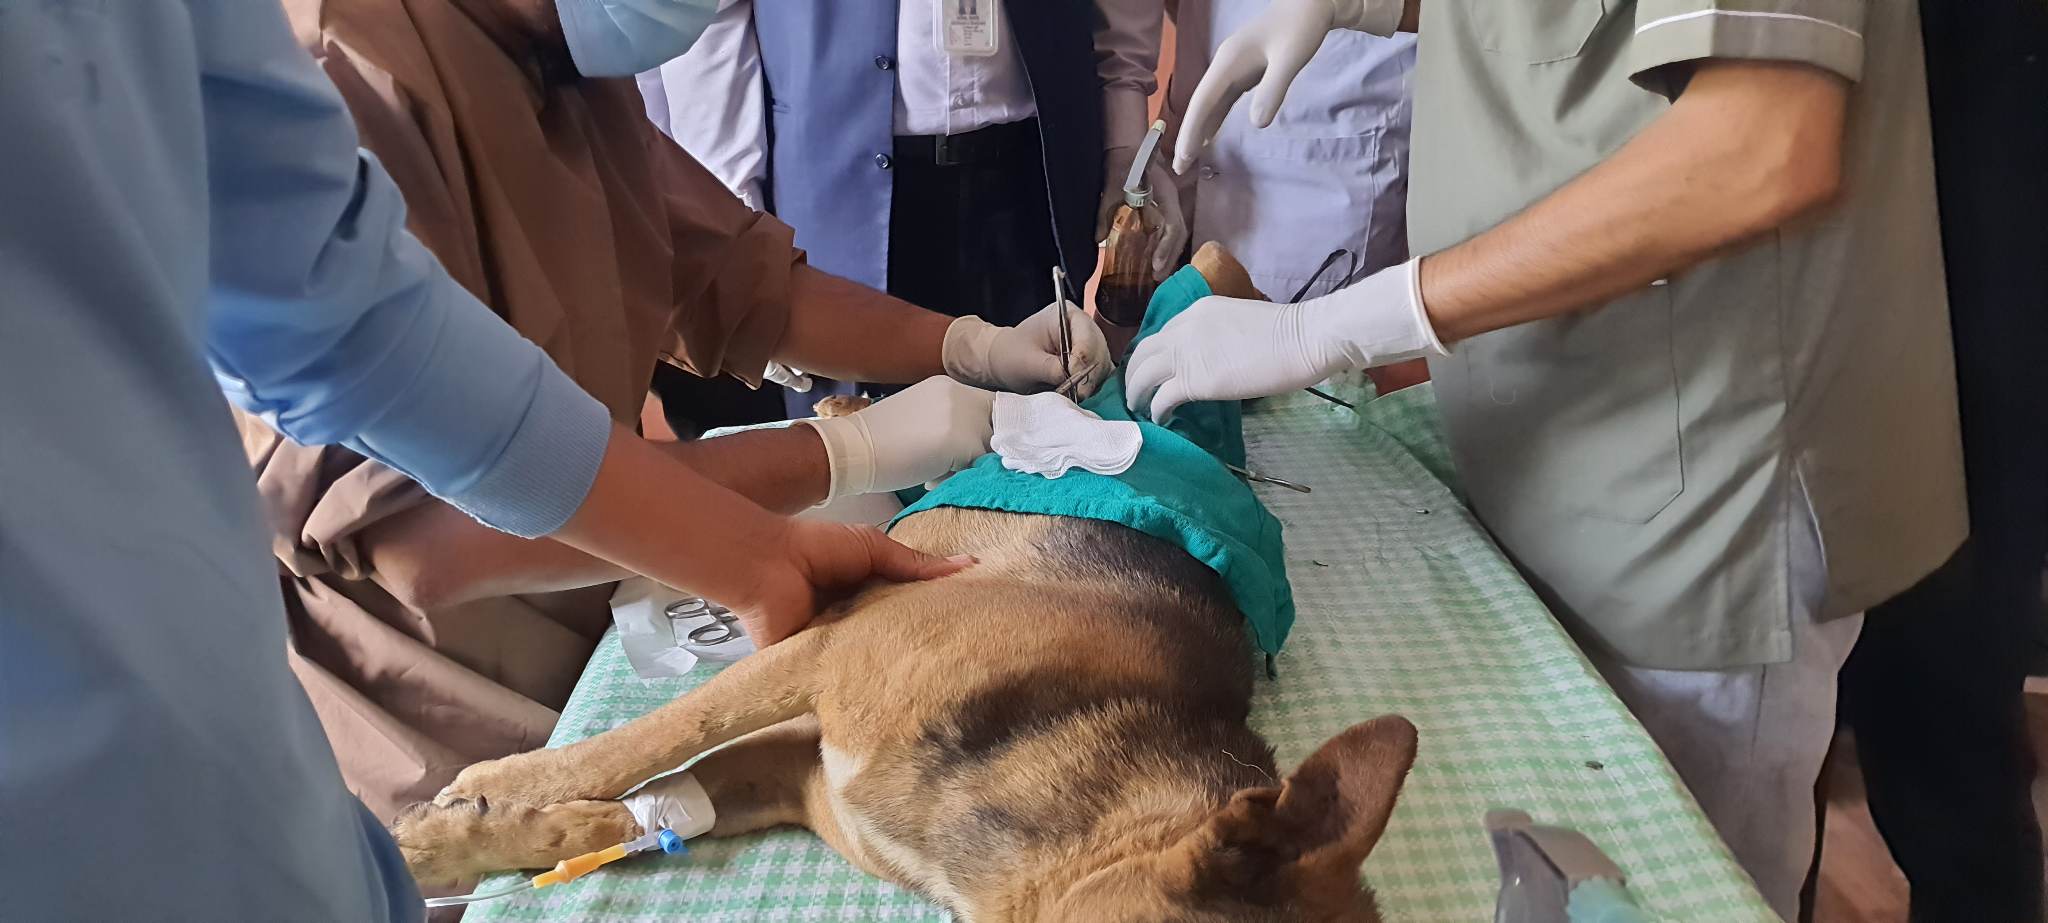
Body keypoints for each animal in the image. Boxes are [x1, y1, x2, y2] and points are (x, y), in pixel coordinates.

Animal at [391, 246, 1419, 922]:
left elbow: (655, 801)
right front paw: (485, 802)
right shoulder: (820, 652)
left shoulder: (794, 772)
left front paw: (469, 837)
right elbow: (647, 741)